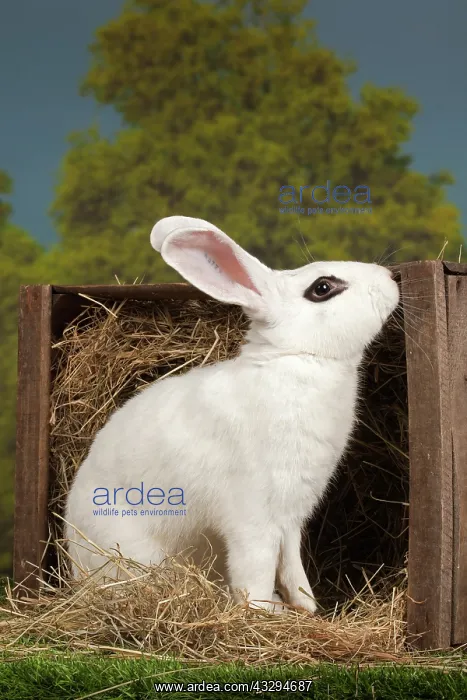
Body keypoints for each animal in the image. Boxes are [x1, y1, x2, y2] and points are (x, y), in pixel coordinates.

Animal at [64, 215, 400, 614]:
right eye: (322, 287)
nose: (390, 276)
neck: (296, 358)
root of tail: (72, 563)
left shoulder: (291, 518)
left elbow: (291, 565)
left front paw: (306, 607)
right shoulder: (253, 516)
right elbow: (256, 569)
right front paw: (265, 612)